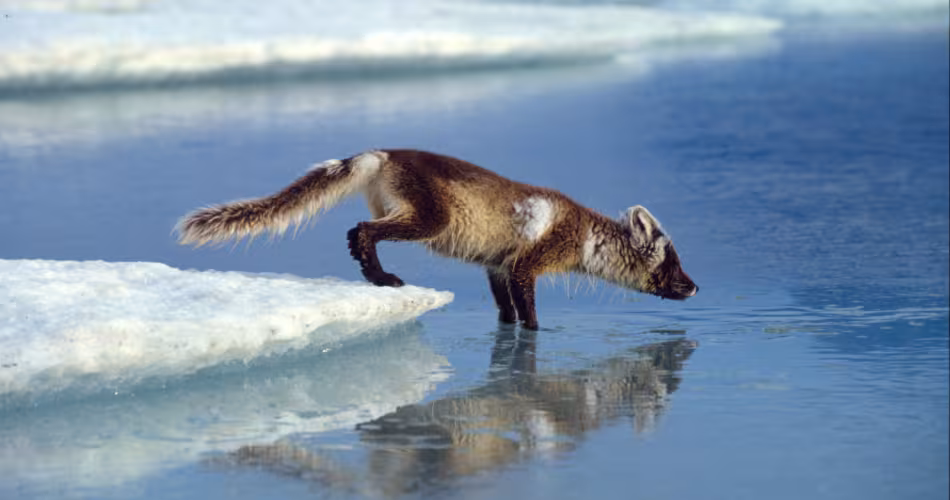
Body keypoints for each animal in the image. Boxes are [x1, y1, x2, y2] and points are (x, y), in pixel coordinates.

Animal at [177, 149, 698, 329]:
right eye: (671, 262)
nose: (695, 287)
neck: (587, 235)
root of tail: (382, 154)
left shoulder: (497, 266)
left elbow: (506, 311)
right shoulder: (529, 262)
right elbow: (529, 313)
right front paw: (538, 334)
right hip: (429, 218)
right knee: (360, 230)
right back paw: (381, 277)